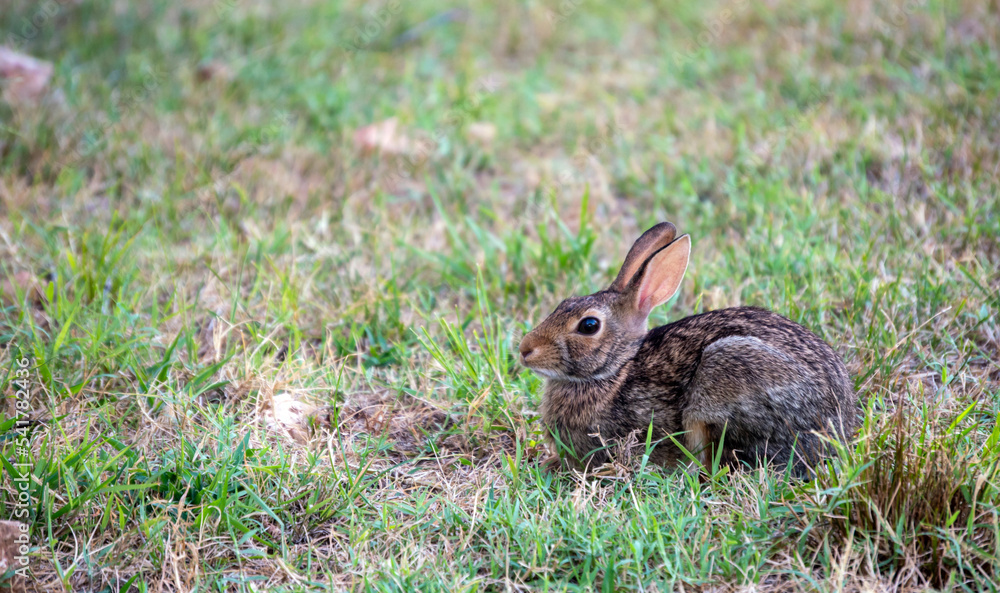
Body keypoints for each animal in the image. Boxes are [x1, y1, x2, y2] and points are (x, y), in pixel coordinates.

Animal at [518, 222, 857, 474]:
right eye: (563, 303)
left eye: (589, 326)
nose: (524, 350)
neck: (614, 373)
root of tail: (838, 428)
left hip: (721, 380)